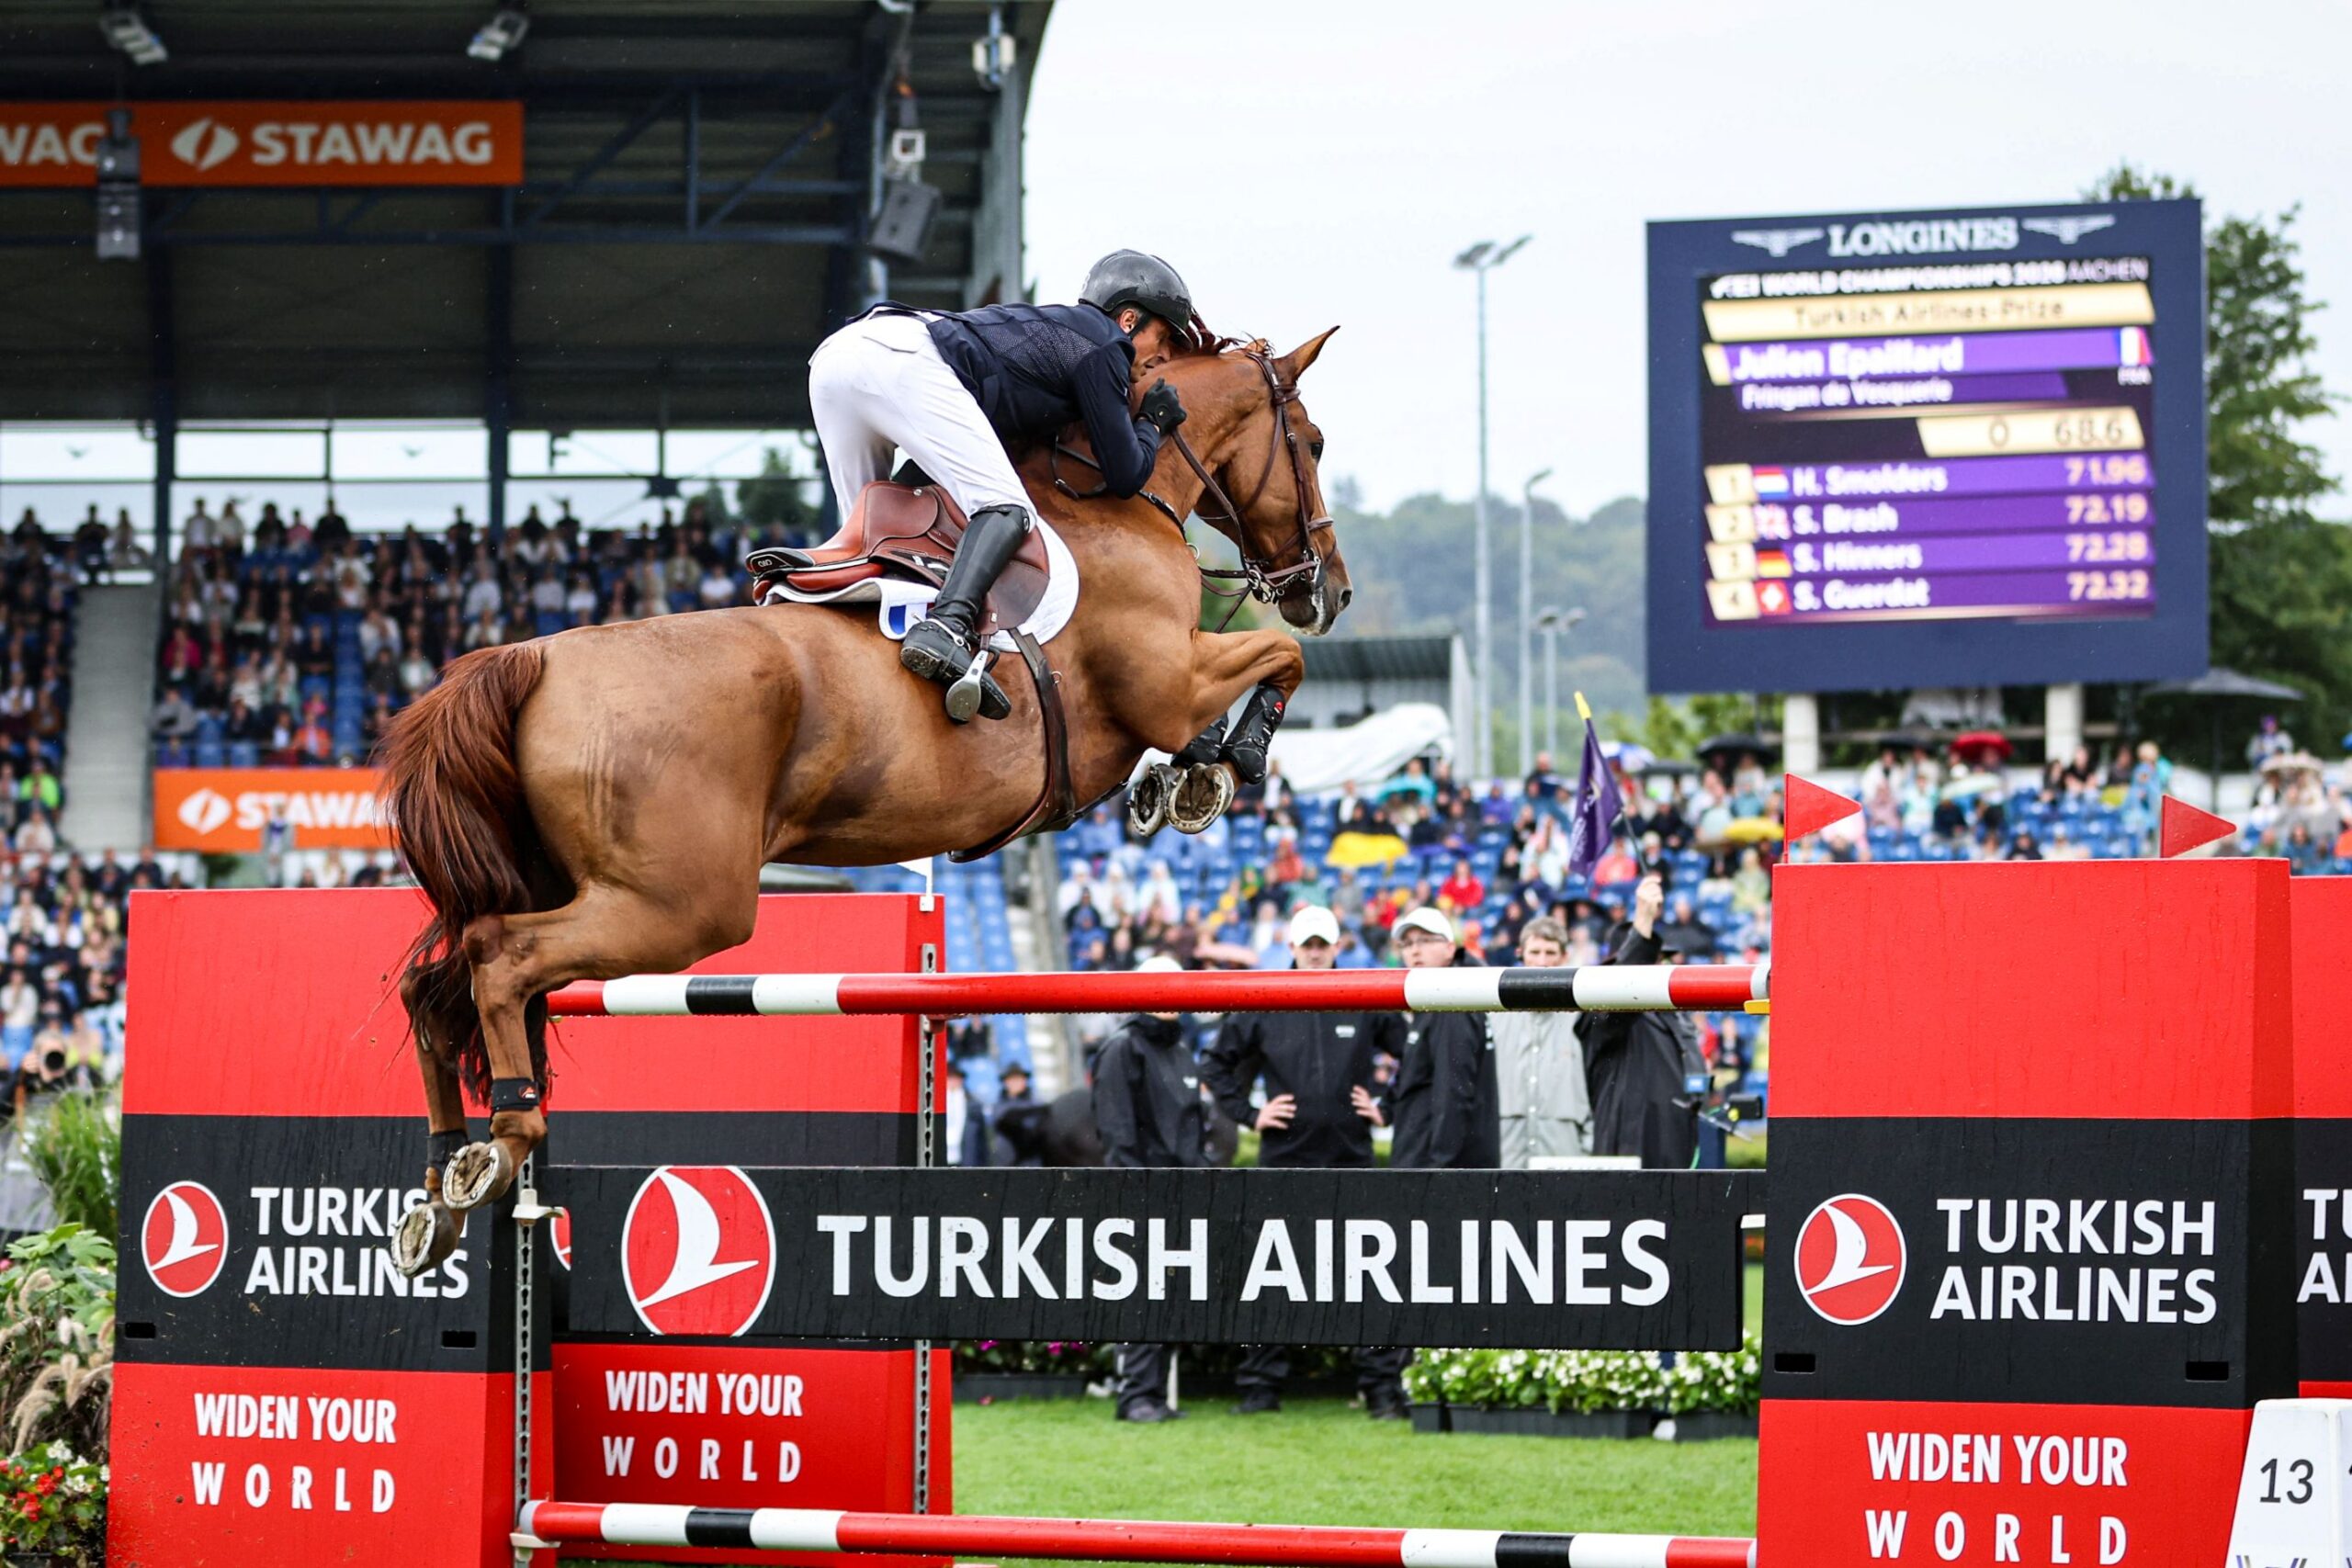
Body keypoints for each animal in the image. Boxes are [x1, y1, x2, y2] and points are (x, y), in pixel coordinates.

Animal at [384, 328, 1350, 1275]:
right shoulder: (1164, 681)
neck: (1118, 503)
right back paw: (503, 1140)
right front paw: (1225, 764)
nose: (1329, 589)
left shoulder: (1160, 696)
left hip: (567, 883)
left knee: (438, 982)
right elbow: (1280, 662)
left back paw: (439, 1187)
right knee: (501, 959)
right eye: (1310, 442)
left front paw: (1177, 778)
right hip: (680, 906)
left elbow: (1236, 692)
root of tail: (532, 657)